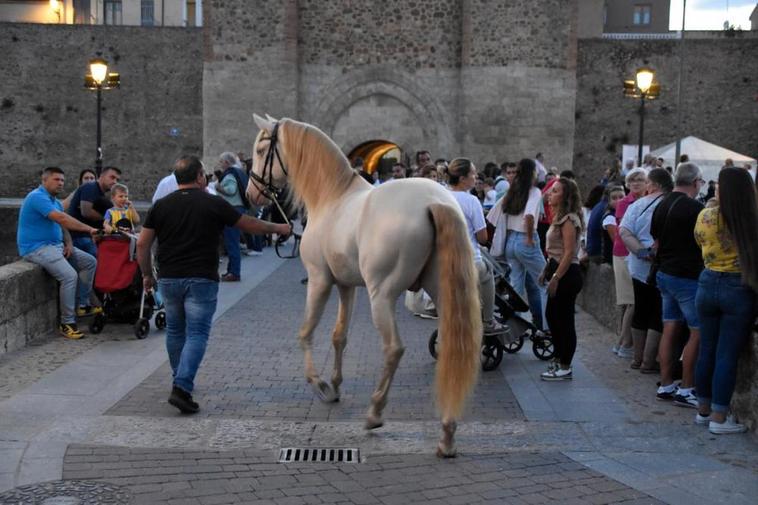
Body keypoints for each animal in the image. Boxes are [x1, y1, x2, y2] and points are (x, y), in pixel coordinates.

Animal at [246, 115, 480, 456]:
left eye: (262, 149)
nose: (252, 194)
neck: (332, 197)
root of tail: (435, 202)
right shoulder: (346, 285)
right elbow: (339, 336)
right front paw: (335, 383)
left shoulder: (319, 280)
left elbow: (306, 333)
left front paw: (320, 384)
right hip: (441, 290)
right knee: (454, 346)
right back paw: (447, 433)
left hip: (381, 295)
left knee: (394, 348)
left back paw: (375, 412)